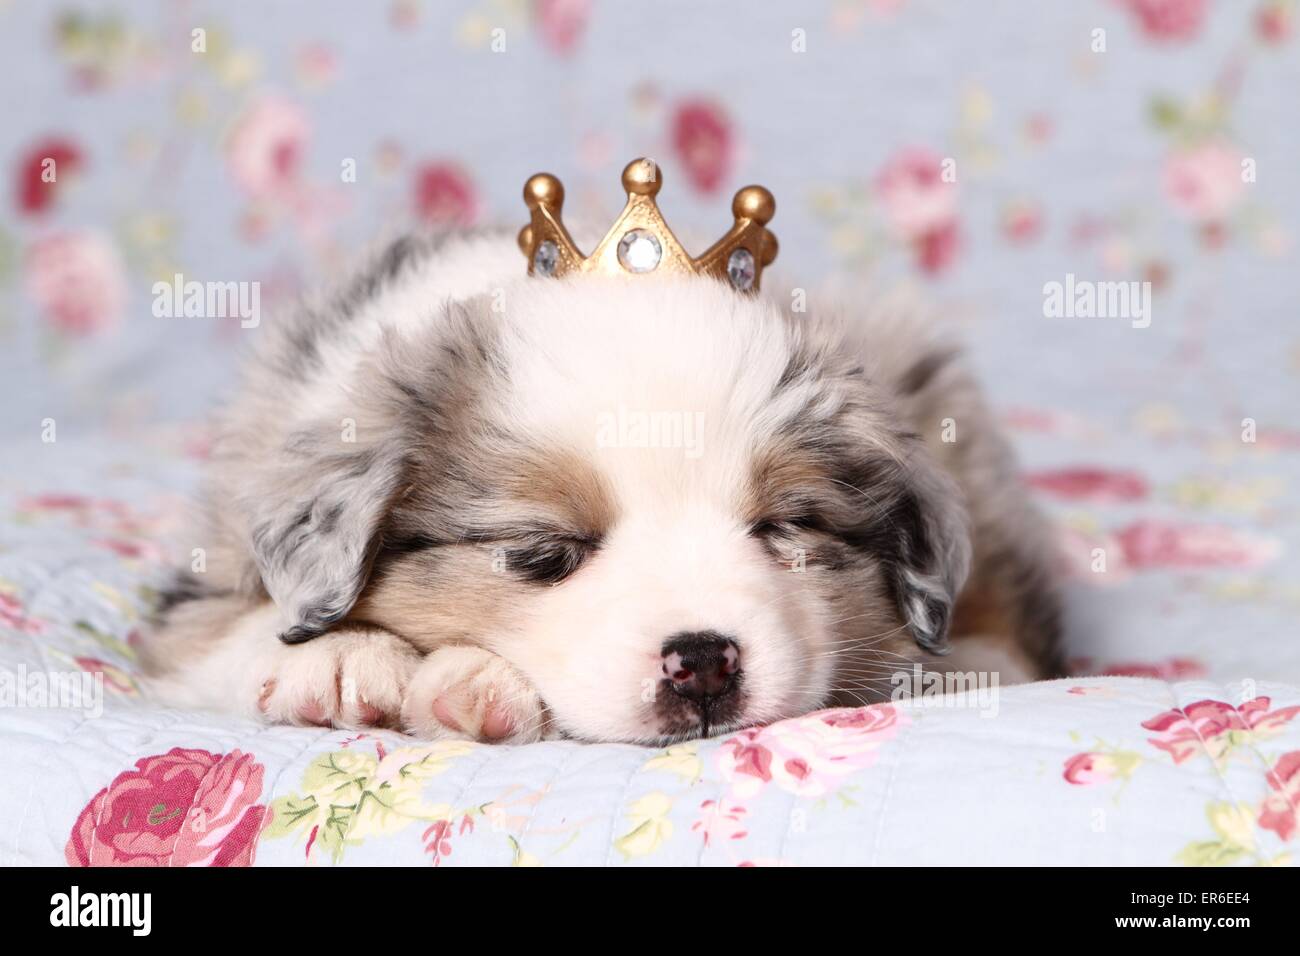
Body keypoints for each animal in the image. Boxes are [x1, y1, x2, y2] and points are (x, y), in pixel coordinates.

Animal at [142, 227, 1060, 743]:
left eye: (784, 529)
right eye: (544, 552)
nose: (704, 664)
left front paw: (465, 681)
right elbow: (221, 631)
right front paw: (344, 661)